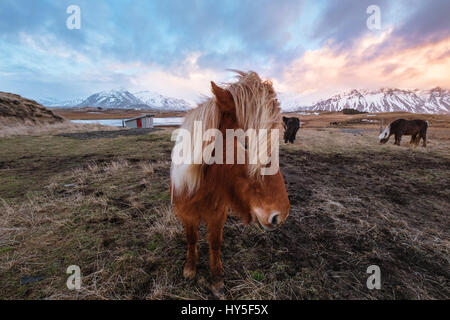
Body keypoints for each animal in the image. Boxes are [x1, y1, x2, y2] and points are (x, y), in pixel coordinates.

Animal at [171, 71, 290, 296]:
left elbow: (215, 243)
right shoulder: (186, 213)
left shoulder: (218, 214)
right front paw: (189, 268)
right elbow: (191, 238)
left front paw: (217, 278)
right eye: (246, 144)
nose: (280, 215)